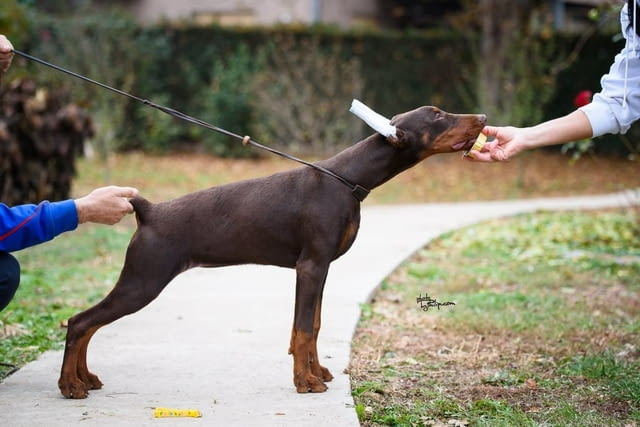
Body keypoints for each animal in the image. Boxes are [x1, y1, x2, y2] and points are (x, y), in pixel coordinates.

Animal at [58, 105, 484, 400]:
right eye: (437, 114)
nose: (481, 116)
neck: (347, 179)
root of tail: (149, 211)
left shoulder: (319, 268)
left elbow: (312, 325)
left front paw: (317, 372)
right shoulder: (311, 265)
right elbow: (302, 328)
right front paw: (305, 382)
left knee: (88, 325)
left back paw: (85, 379)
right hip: (144, 279)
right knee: (80, 322)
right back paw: (70, 385)